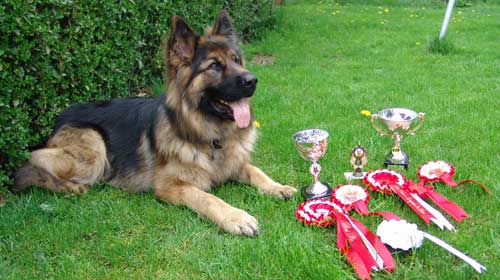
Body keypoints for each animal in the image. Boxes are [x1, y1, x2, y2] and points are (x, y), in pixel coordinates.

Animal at [13, 10, 296, 236]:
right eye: (215, 65)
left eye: (236, 60)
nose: (252, 80)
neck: (210, 136)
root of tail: (61, 115)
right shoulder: (172, 187)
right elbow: (207, 197)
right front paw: (235, 216)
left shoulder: (235, 163)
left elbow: (255, 170)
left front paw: (277, 187)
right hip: (93, 150)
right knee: (31, 161)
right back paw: (69, 186)